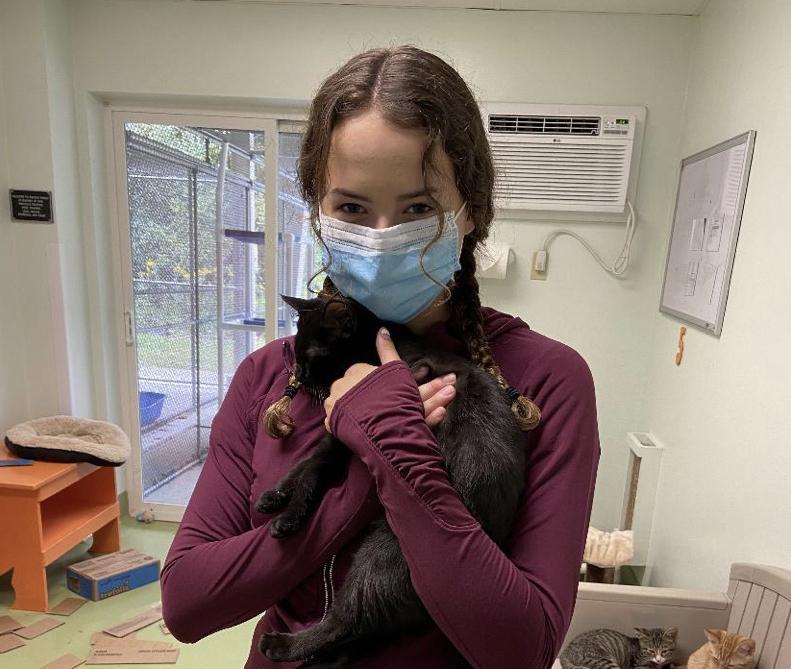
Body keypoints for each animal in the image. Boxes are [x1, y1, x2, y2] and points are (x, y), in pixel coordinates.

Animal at [254, 294, 528, 668]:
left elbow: (312, 471)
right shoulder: (337, 431)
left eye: (310, 354)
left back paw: (281, 645)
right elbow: (305, 462)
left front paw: (288, 518)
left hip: (379, 555)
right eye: (296, 352)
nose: (300, 376)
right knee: (354, 637)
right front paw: (274, 496)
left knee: (343, 621)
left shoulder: (342, 427)